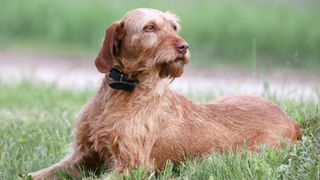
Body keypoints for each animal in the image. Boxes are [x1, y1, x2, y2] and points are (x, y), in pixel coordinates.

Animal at [28, 8, 302, 179]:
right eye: (149, 27)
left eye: (174, 26)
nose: (184, 46)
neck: (123, 92)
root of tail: (292, 120)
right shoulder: (83, 154)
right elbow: (38, 174)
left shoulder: (132, 166)